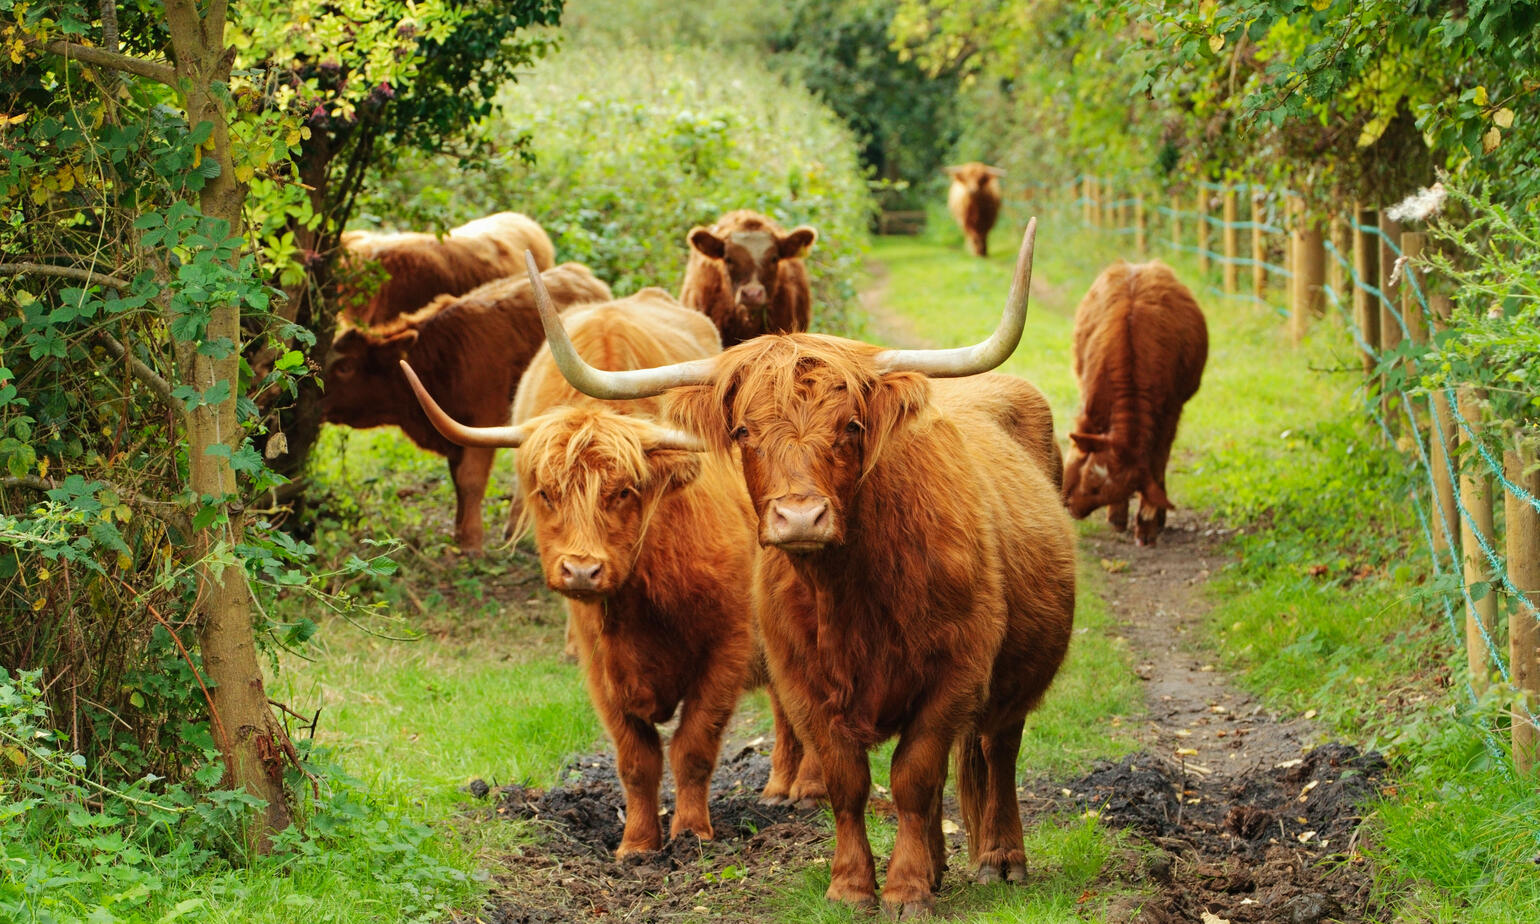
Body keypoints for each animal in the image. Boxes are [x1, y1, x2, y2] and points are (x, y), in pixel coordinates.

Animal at [321, 263, 611, 552]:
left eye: (345, 367)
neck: (440, 357)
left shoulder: (483, 422)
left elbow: (470, 479)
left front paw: (472, 540)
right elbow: (457, 480)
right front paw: (459, 532)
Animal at [398, 294, 824, 856]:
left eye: (624, 491)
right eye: (546, 493)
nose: (582, 569)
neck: (645, 599)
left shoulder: (726, 649)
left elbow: (693, 747)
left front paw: (692, 835)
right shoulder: (600, 666)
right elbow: (636, 760)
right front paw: (637, 845)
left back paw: (809, 790)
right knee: (785, 704)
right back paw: (777, 788)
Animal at [532, 223, 1076, 917]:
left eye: (852, 425)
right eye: (742, 430)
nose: (799, 517)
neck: (850, 595)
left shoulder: (953, 675)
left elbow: (912, 776)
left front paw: (904, 890)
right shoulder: (802, 681)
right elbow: (849, 783)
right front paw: (853, 886)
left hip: (1019, 675)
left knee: (996, 749)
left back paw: (1000, 859)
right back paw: (941, 863)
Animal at [1062, 260, 1208, 546]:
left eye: (1101, 491)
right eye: (1090, 478)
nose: (1074, 508)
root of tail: (1138, 266)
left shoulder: (1170, 415)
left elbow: (1157, 465)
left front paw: (1149, 521)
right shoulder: (1089, 413)